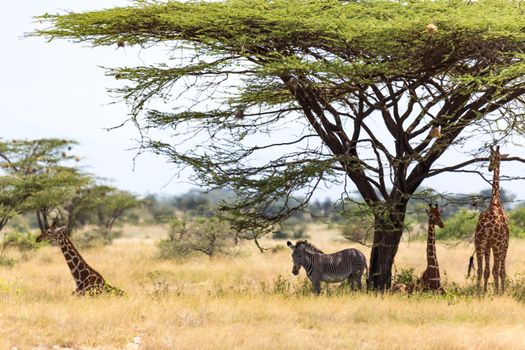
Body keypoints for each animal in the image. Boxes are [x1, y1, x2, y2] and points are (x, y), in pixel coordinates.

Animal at [468, 145, 510, 292]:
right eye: (490, 157)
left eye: (494, 157)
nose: (490, 168)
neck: (495, 201)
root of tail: (486, 225)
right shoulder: (505, 243)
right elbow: (501, 271)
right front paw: (502, 291)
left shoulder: (487, 245)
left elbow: (486, 270)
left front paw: (486, 290)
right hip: (496, 245)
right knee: (495, 270)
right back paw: (496, 292)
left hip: (479, 242)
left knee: (481, 269)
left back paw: (478, 291)